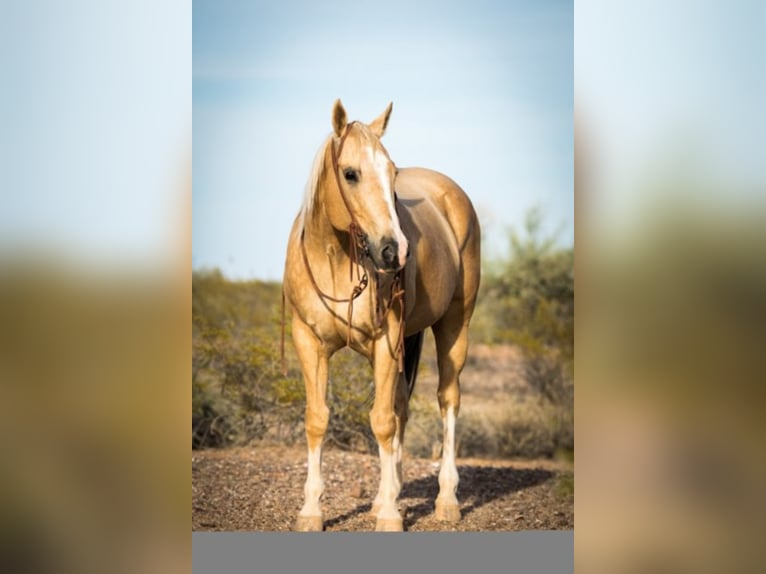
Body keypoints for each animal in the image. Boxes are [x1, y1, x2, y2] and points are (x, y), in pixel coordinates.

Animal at [284, 98, 484, 532]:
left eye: (393, 174)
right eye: (351, 174)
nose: (395, 251)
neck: (335, 258)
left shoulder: (385, 340)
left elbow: (381, 421)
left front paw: (391, 514)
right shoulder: (309, 342)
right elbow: (317, 418)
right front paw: (311, 509)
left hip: (454, 326)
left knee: (448, 400)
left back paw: (446, 500)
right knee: (401, 406)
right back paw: (383, 496)